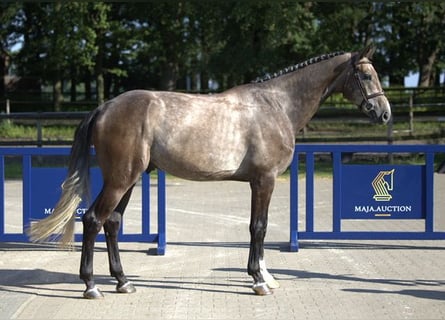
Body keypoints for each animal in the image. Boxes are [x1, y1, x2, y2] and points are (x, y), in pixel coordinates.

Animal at [27, 43, 390, 298]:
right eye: (366, 75)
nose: (384, 113)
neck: (276, 106)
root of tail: (105, 107)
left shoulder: (260, 182)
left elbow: (258, 227)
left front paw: (264, 276)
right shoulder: (265, 180)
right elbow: (259, 227)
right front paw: (259, 280)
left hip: (128, 180)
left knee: (112, 223)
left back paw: (123, 281)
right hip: (120, 179)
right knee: (92, 220)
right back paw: (91, 285)